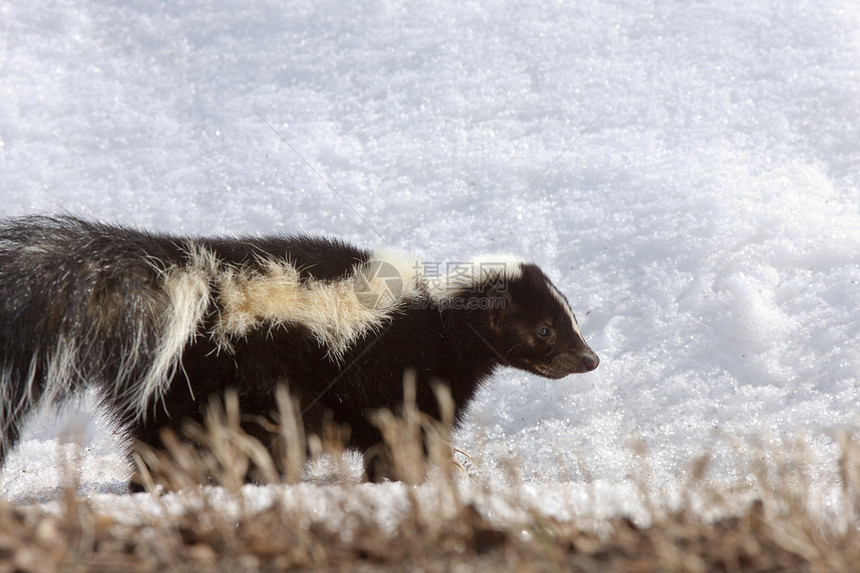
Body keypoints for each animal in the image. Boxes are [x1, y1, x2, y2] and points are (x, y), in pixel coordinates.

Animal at [0, 214, 596, 478]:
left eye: (568, 318)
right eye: (546, 330)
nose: (590, 359)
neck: (439, 318)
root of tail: (195, 281)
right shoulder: (404, 379)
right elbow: (403, 439)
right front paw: (403, 483)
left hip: (170, 384)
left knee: (159, 443)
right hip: (246, 379)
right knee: (253, 440)